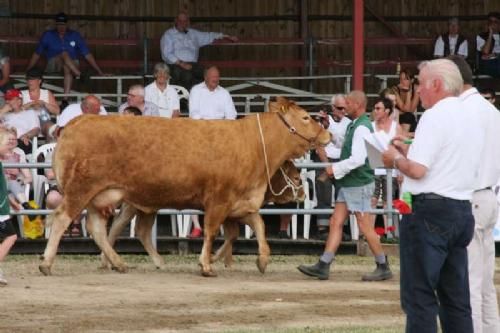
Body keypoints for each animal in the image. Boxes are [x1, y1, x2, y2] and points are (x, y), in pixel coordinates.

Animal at [102, 158, 304, 270]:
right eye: (296, 177)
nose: (303, 194)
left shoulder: (239, 211)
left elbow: (252, 228)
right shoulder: (225, 209)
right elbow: (231, 234)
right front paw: (214, 258)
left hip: (145, 207)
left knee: (136, 229)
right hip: (137, 205)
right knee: (123, 226)